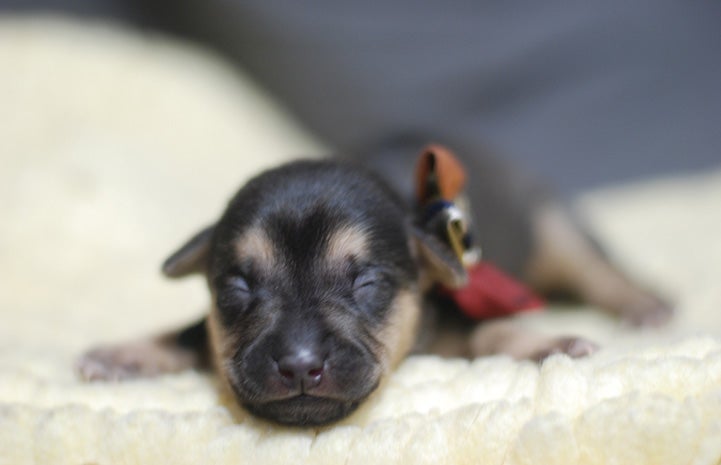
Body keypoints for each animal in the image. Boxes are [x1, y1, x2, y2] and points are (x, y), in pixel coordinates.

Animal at [76, 145, 672, 424]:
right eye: (238, 289)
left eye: (365, 284)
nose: (298, 365)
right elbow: (190, 331)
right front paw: (125, 353)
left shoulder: (451, 306)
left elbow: (490, 332)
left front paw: (547, 343)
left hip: (549, 225)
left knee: (598, 267)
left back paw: (645, 303)